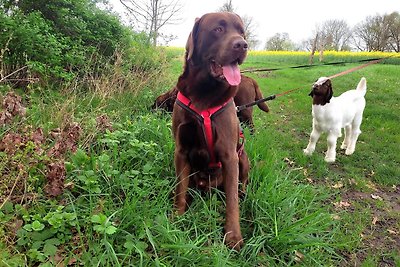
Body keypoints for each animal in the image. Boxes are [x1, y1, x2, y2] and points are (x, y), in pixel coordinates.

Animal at [172, 12, 250, 251]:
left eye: (241, 31)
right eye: (218, 29)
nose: (242, 44)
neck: (203, 95)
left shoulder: (229, 155)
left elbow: (232, 201)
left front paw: (233, 237)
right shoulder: (181, 150)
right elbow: (180, 188)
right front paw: (177, 218)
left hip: (243, 157)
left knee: (241, 185)